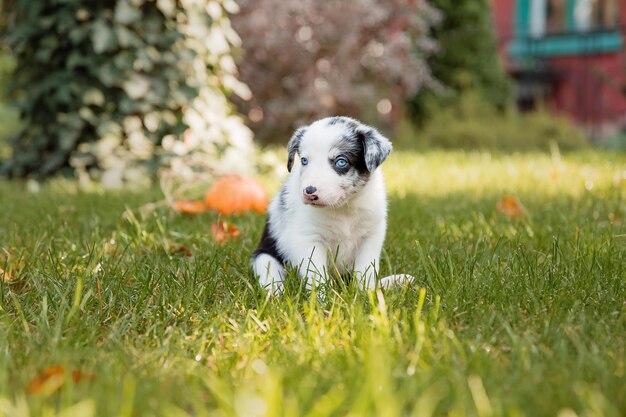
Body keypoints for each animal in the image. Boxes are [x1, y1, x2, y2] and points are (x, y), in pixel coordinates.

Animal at [251, 114, 408, 292]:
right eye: (304, 160)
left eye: (341, 162)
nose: (309, 192)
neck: (344, 208)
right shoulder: (308, 239)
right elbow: (317, 276)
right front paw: (321, 298)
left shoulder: (371, 236)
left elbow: (365, 272)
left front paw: (367, 294)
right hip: (264, 257)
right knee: (271, 276)